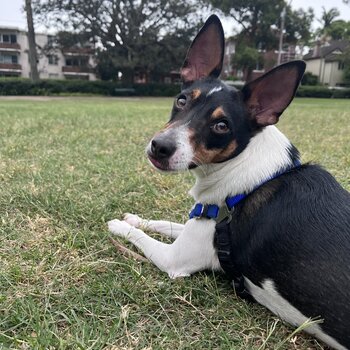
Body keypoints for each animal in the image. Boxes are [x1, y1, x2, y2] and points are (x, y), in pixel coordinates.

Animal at [107, 14, 350, 350]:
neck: (248, 179)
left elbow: (140, 237)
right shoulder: (200, 227)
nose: (160, 147)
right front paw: (135, 218)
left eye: (221, 126)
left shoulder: (175, 259)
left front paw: (119, 226)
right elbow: (163, 223)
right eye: (181, 100)